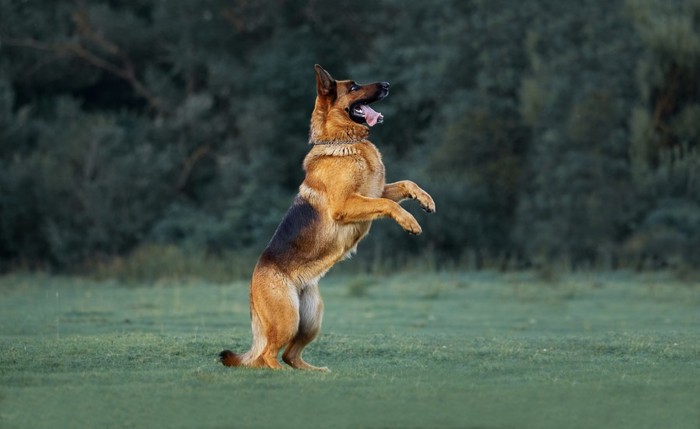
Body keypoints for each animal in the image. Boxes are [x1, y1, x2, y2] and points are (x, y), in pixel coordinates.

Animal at [221, 65, 434, 370]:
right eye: (354, 87)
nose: (387, 84)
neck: (345, 140)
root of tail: (252, 284)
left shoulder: (375, 190)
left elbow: (406, 184)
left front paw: (426, 200)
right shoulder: (347, 204)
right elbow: (387, 204)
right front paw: (410, 222)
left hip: (311, 319)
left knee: (289, 354)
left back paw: (313, 372)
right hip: (288, 319)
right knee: (267, 355)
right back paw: (281, 374)